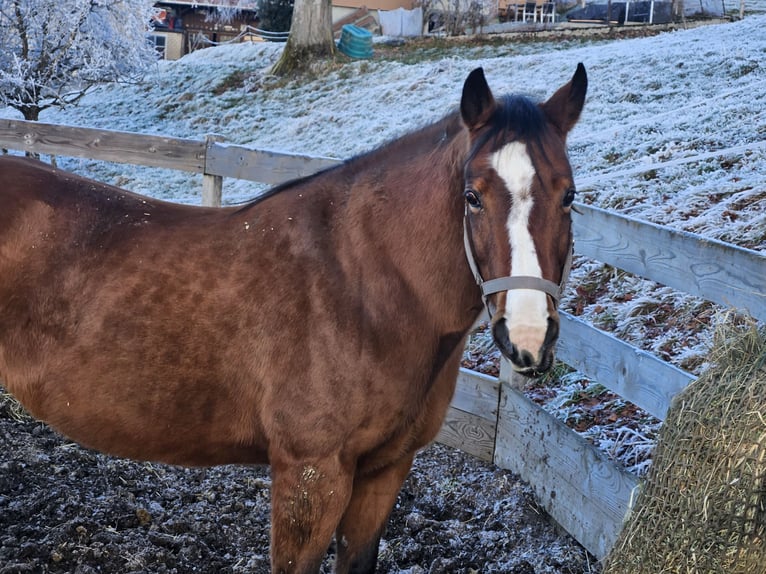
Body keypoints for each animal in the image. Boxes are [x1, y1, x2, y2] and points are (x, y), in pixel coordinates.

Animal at [0, 64, 586, 573]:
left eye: (569, 196)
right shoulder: (310, 475)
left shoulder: (384, 471)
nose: (528, 336)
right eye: (473, 197)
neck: (361, 284)